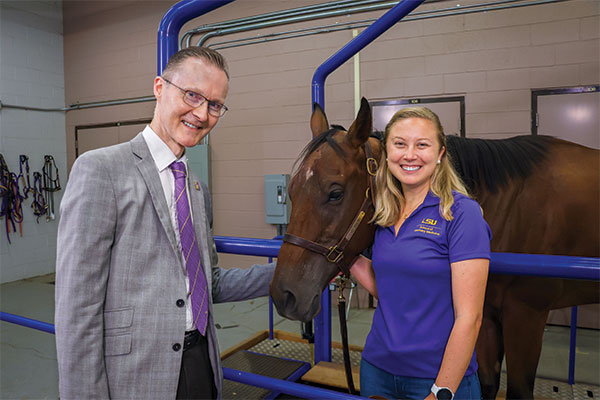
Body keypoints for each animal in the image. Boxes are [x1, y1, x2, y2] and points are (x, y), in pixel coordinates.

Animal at [272, 99, 600, 400]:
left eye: (335, 193)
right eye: (291, 191)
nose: (284, 295)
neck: (510, 209)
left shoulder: (526, 316)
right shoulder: (486, 316)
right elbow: (486, 383)